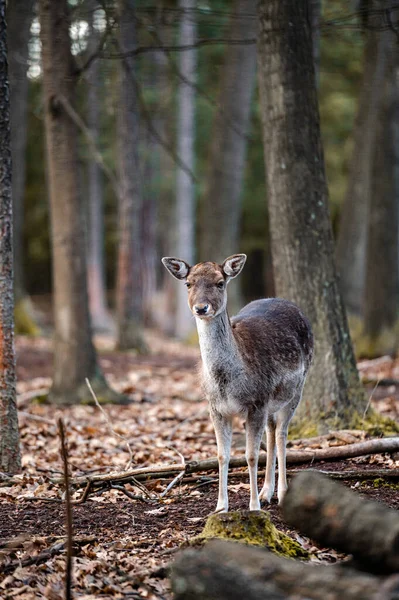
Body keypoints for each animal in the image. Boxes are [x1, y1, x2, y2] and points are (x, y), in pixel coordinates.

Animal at [161, 253, 314, 510]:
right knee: (272, 432)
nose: (201, 308)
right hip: (272, 401)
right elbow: (222, 455)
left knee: (281, 434)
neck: (226, 383)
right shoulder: (216, 408)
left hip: (296, 388)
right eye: (188, 283)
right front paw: (221, 507)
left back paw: (282, 493)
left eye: (220, 283)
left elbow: (251, 455)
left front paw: (253, 507)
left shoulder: (257, 402)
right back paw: (267, 491)